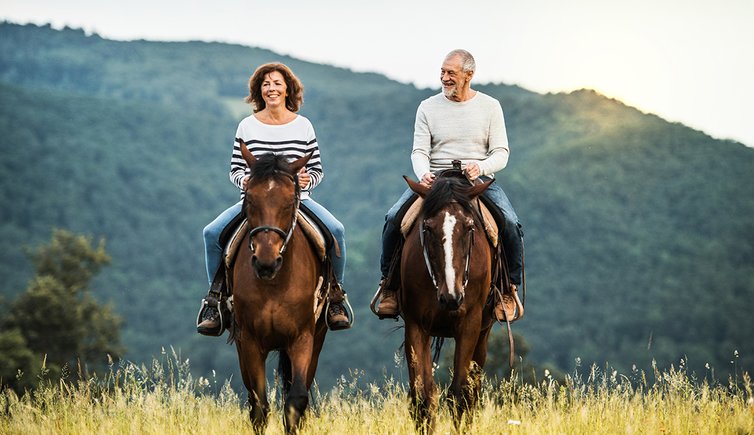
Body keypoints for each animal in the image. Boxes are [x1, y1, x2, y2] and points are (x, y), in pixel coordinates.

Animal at [231, 145, 328, 434]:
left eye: (288, 203)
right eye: (250, 200)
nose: (266, 262)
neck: (274, 283)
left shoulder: (302, 339)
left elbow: (296, 399)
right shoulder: (250, 342)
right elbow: (259, 406)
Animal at [396, 173, 496, 432]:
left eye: (470, 227)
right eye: (427, 228)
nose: (451, 297)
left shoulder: (469, 324)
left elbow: (460, 394)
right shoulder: (415, 325)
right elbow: (423, 396)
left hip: (484, 332)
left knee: (473, 391)